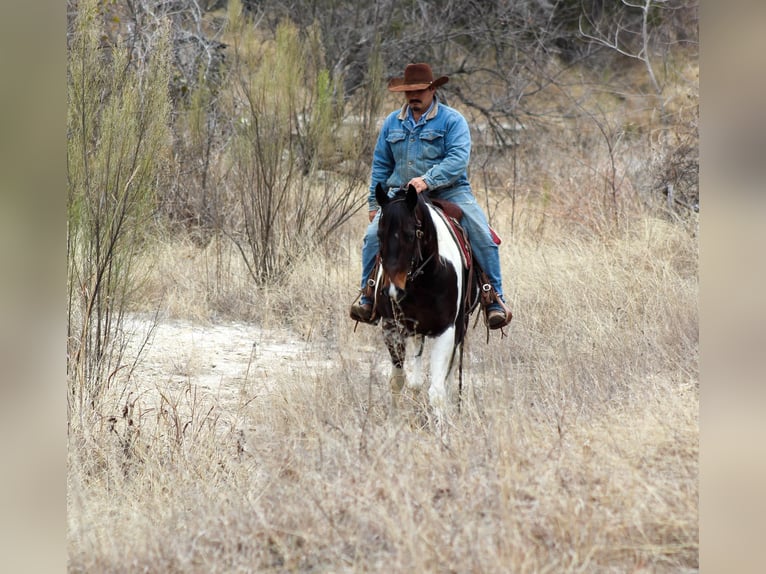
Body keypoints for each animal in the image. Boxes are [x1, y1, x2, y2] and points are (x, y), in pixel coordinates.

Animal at [372, 183, 480, 428]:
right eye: (379, 235)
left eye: (410, 234)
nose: (392, 291)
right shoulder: (394, 328)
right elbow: (399, 380)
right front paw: (394, 421)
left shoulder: (447, 331)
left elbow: (438, 390)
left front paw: (441, 428)